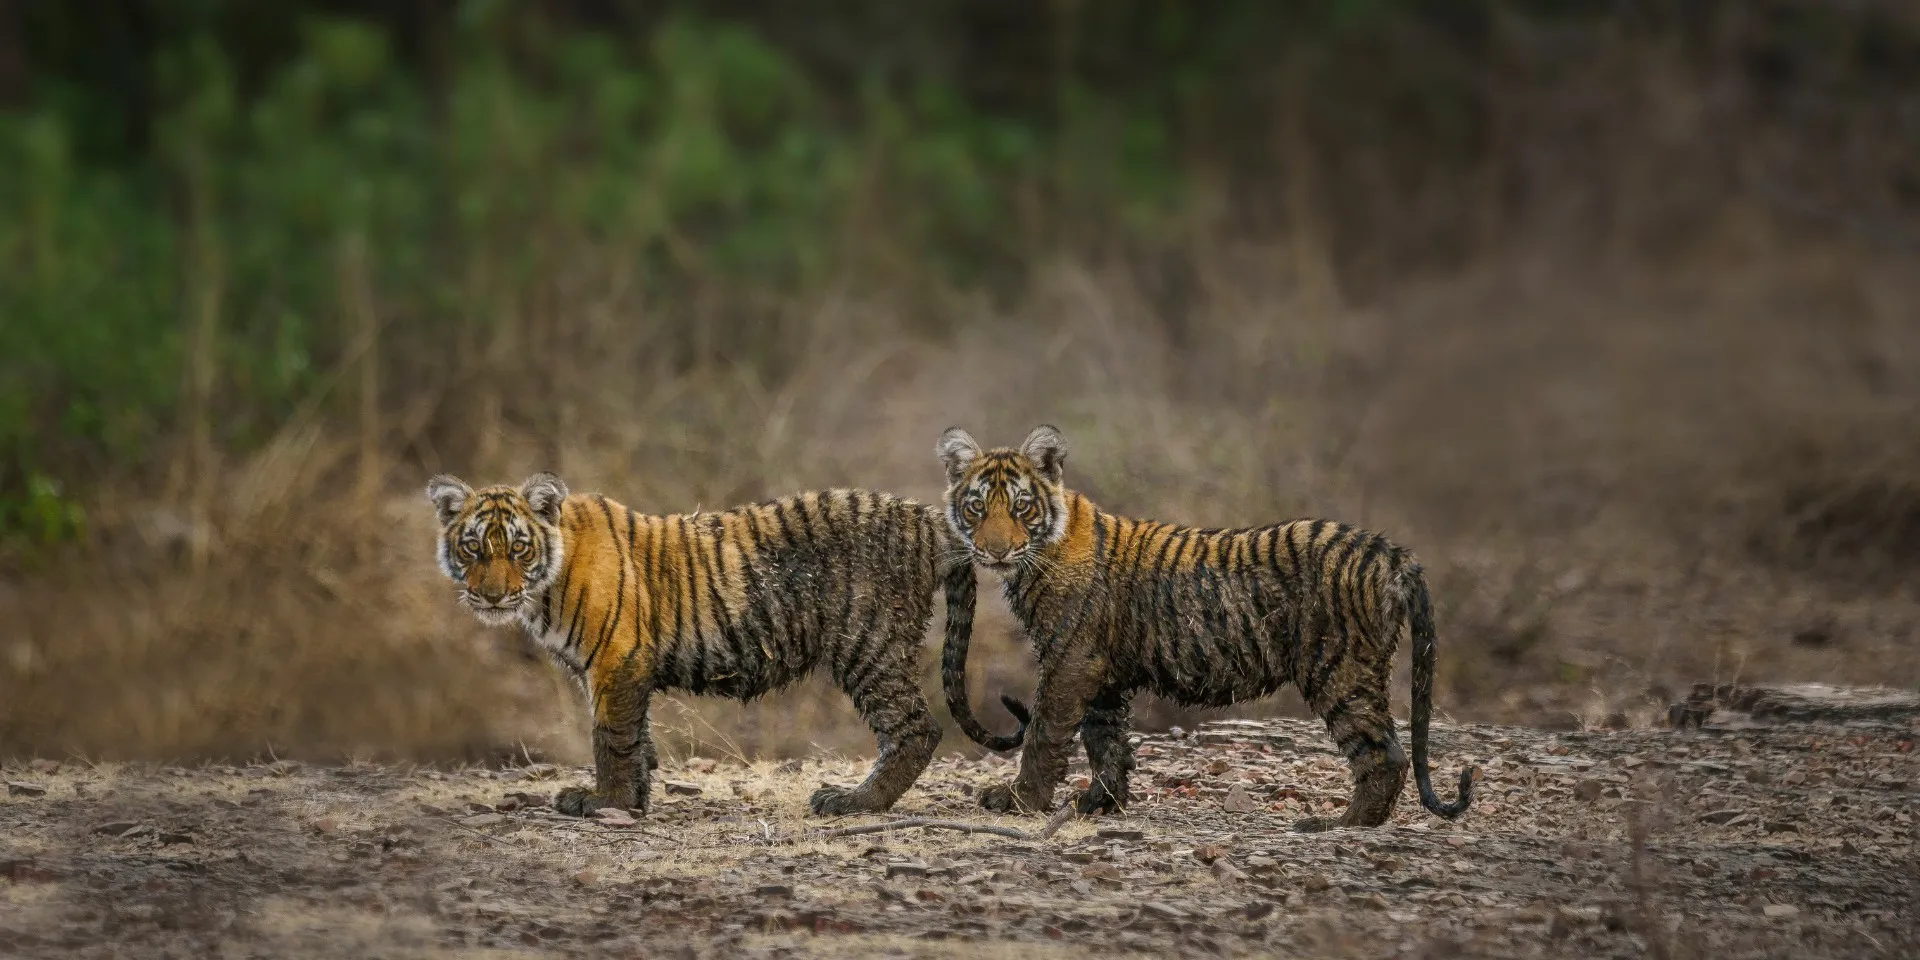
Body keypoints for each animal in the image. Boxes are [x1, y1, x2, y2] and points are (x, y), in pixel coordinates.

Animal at [426, 472, 977, 818]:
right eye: (472, 547)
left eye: (518, 548)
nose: (491, 595)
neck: (546, 585)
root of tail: (928, 518)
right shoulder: (615, 667)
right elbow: (636, 734)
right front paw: (636, 795)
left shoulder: (616, 657)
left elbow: (611, 736)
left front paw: (607, 802)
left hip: (869, 644)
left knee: (915, 728)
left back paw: (854, 802)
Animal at [935, 425, 1475, 832]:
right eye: (977, 507)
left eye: (1021, 506)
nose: (996, 550)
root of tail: (1389, 552)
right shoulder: (1102, 672)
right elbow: (1104, 740)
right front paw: (1099, 804)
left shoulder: (1070, 660)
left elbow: (1045, 732)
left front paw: (1020, 801)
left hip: (1340, 668)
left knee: (1385, 753)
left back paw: (1338, 824)